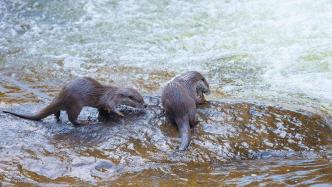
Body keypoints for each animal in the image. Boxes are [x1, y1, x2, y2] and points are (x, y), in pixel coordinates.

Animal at [2, 76, 145, 126]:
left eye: (142, 99)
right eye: (139, 100)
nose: (146, 105)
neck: (115, 94)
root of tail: (62, 95)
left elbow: (102, 109)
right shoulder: (109, 99)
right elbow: (110, 106)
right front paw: (120, 113)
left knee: (57, 111)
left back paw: (57, 117)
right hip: (76, 104)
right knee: (72, 118)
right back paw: (84, 122)